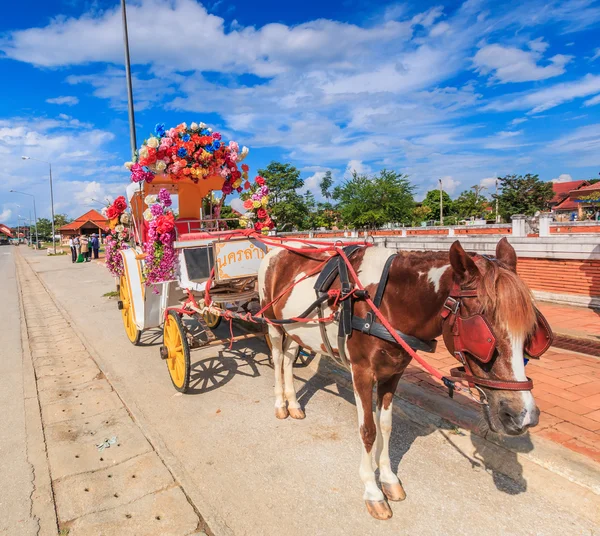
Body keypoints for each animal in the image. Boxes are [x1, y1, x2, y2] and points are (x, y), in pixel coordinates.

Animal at [255, 239, 548, 520]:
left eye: (531, 334)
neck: (384, 303)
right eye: (483, 334)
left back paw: (294, 404)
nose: (523, 415)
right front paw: (372, 491)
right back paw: (280, 404)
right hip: (273, 322)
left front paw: (388, 479)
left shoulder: (393, 372)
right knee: (279, 357)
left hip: (296, 328)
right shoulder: (361, 372)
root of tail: (276, 251)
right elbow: (368, 430)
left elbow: (385, 426)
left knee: (290, 357)